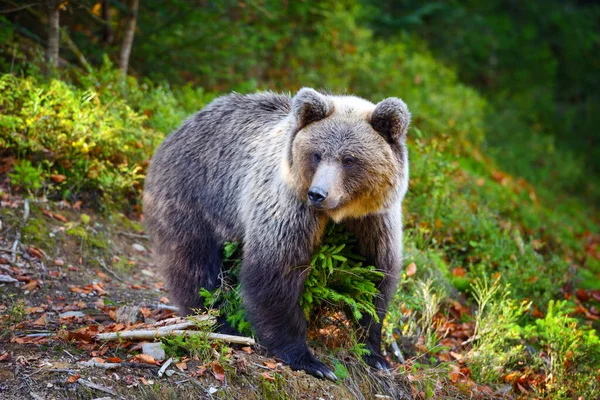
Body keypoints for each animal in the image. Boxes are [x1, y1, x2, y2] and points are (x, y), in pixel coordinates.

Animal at [143, 87, 410, 382]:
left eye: (349, 159)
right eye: (317, 154)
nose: (318, 194)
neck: (341, 212)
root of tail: (177, 129)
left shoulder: (373, 220)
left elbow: (374, 278)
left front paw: (375, 354)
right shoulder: (289, 205)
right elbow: (276, 272)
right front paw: (309, 360)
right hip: (194, 196)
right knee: (194, 264)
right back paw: (220, 322)